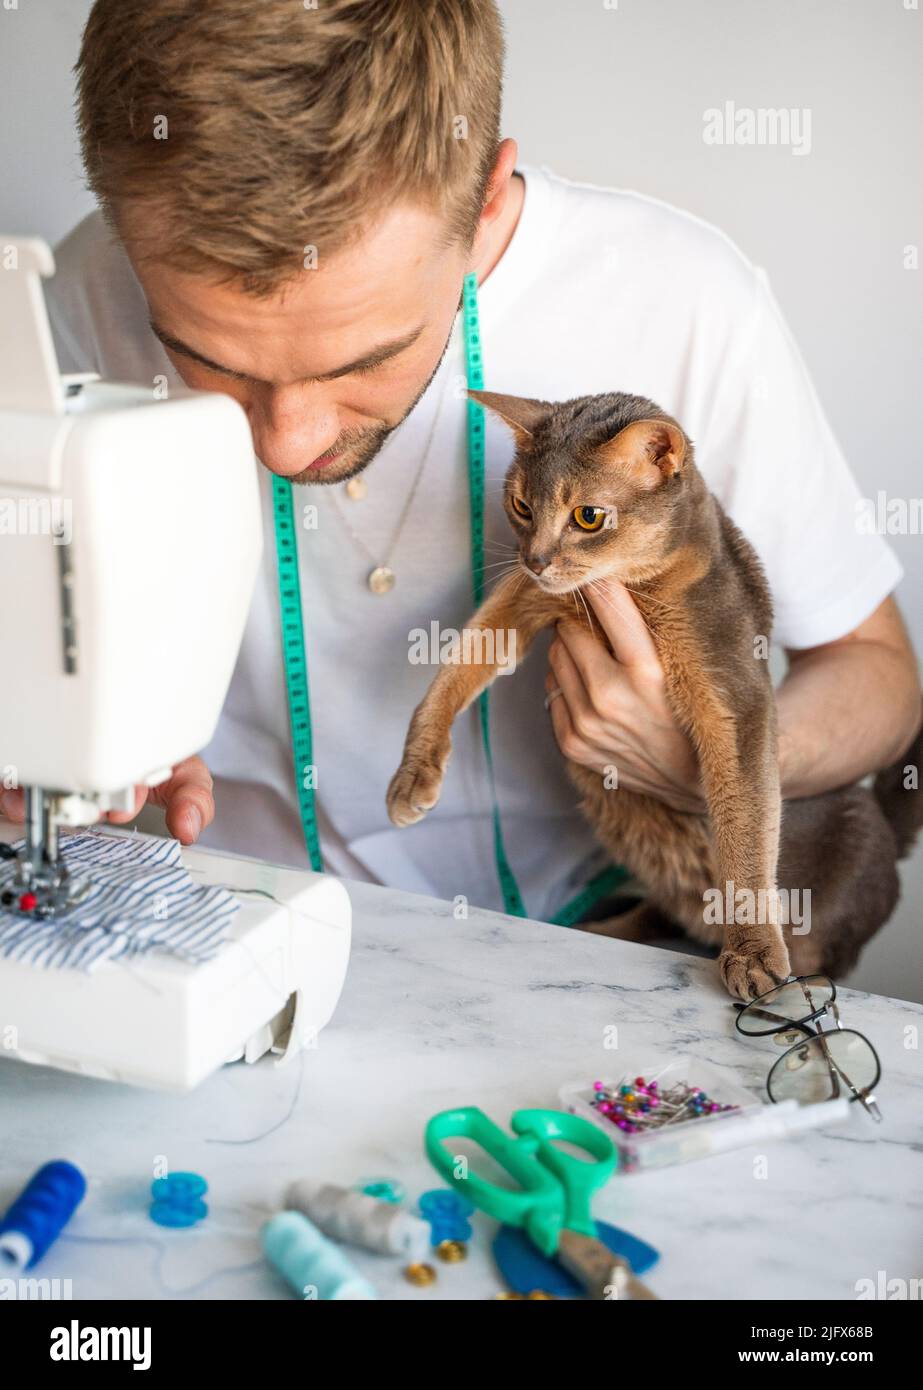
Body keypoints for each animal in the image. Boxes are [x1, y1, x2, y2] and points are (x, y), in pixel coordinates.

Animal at [386, 389, 922, 1000]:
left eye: (588, 516)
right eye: (521, 506)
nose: (536, 558)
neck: (632, 588)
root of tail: (888, 830)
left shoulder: (737, 695)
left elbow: (744, 827)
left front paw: (754, 953)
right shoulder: (523, 597)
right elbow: (456, 665)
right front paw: (413, 773)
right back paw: (607, 926)